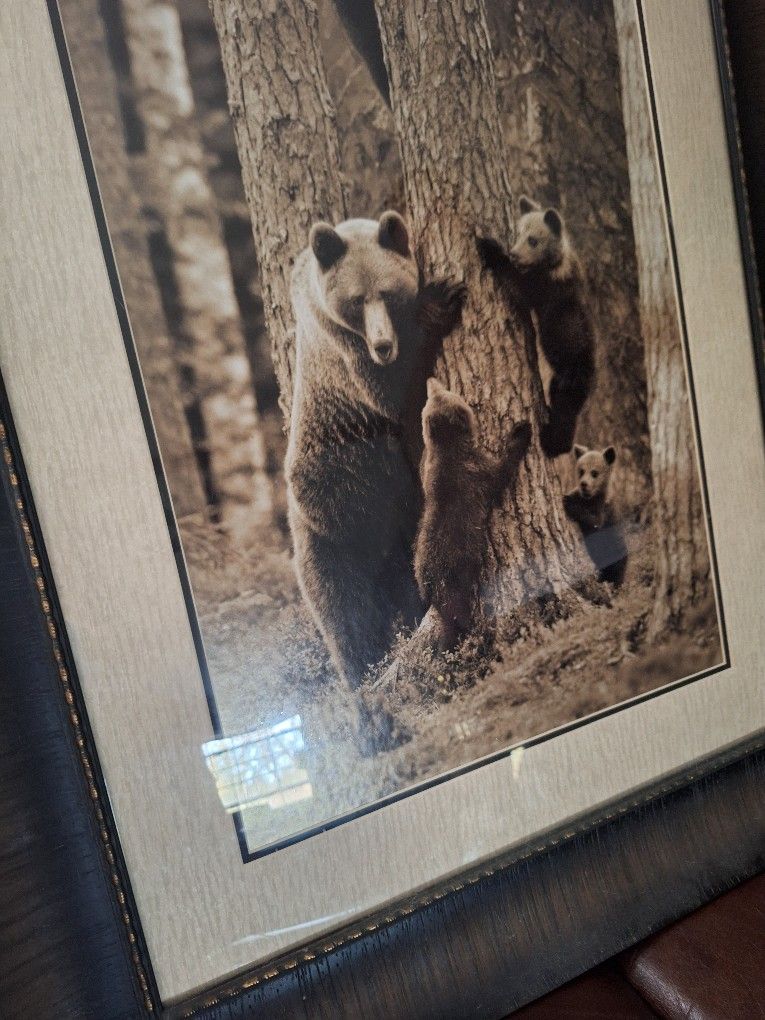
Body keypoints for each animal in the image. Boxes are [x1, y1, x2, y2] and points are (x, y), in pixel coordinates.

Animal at [287, 211, 464, 703]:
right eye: (355, 300)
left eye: (386, 292)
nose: (383, 344)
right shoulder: (346, 353)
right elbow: (389, 390)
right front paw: (440, 299)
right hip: (332, 535)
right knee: (347, 621)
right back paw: (366, 689)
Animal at [414, 377, 532, 651]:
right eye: (450, 392)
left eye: (434, 394)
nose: (431, 380)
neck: (448, 449)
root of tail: (428, 587)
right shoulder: (477, 472)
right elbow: (502, 471)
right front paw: (521, 431)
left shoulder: (429, 469)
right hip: (453, 586)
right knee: (459, 619)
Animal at [477, 196, 596, 458]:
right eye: (518, 233)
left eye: (533, 240)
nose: (514, 254)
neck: (553, 263)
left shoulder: (547, 288)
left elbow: (520, 289)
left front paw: (489, 247)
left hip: (572, 375)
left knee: (566, 412)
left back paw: (551, 440)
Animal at [563, 444, 628, 586]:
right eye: (581, 471)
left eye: (594, 472)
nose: (584, 484)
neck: (591, 498)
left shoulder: (603, 509)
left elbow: (594, 521)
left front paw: (567, 502)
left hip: (615, 552)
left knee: (617, 570)